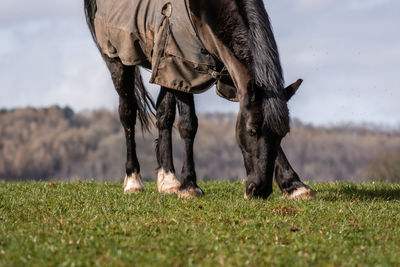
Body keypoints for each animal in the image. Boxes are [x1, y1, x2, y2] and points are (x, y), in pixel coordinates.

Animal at [84, 0, 316, 200]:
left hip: (161, 66)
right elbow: (188, 125)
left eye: (282, 135)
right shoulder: (181, 64)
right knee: (128, 113)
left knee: (163, 115)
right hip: (118, 59)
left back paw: (168, 180)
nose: (260, 190)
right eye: (251, 131)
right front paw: (189, 186)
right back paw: (134, 180)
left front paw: (294, 186)